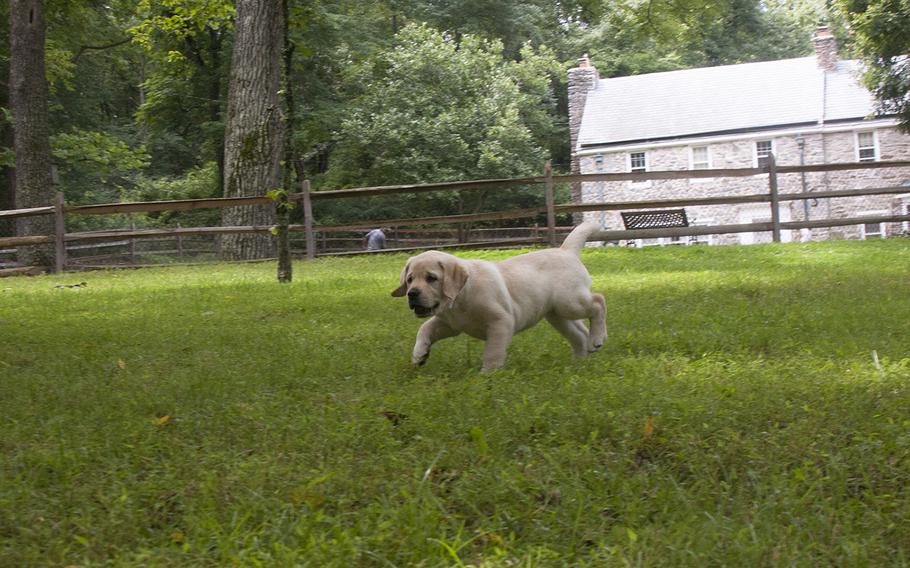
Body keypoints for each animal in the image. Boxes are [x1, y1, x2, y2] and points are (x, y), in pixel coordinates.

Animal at [390, 224, 608, 370]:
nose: (412, 294)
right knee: (579, 334)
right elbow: (425, 328)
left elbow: (492, 352)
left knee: (599, 301)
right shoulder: (451, 325)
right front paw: (419, 354)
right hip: (557, 314)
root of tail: (566, 251)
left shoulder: (500, 321)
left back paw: (597, 338)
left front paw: (488, 376)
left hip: (569, 301)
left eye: (431, 278)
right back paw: (580, 360)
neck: (461, 297)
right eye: (410, 279)